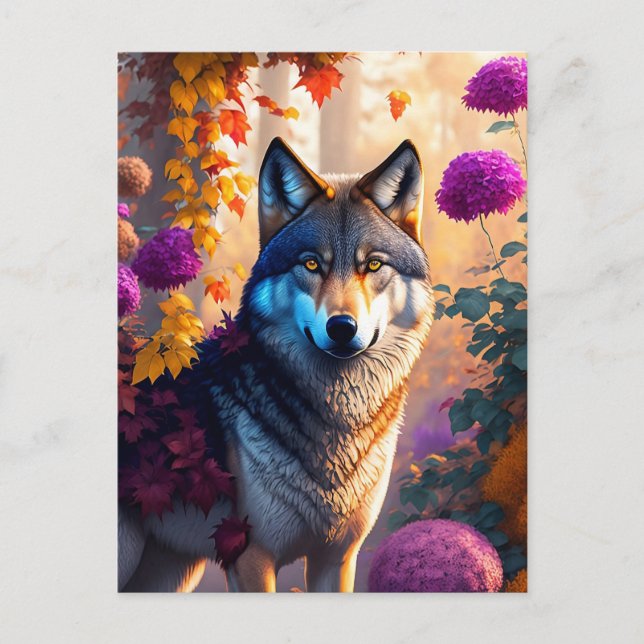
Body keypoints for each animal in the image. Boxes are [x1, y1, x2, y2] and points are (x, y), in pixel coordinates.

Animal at [118, 138, 435, 592]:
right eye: (311, 263)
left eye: (373, 264)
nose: (342, 328)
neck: (335, 422)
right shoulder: (250, 556)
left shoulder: (337, 558)